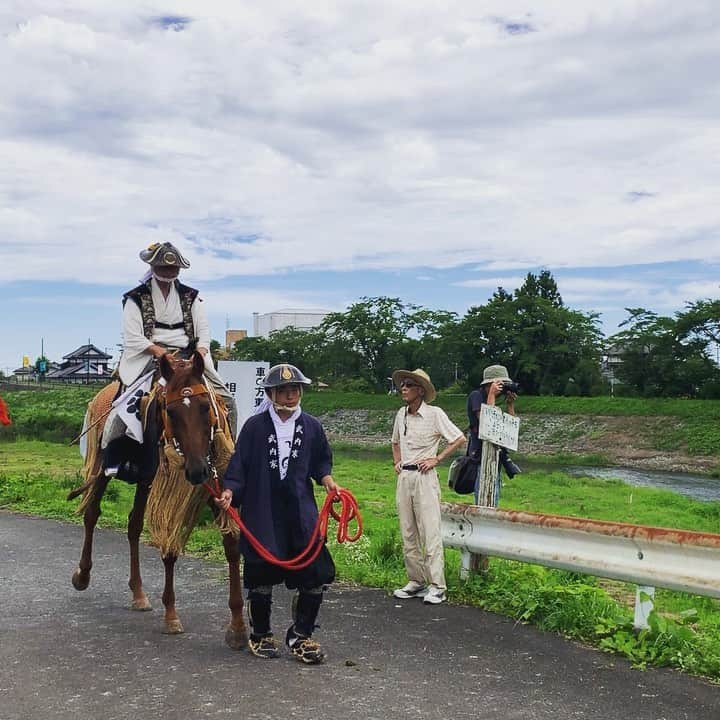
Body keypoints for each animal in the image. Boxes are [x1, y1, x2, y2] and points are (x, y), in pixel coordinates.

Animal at [68, 350, 248, 648]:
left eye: (204, 407)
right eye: (171, 412)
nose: (196, 470)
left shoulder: (214, 481)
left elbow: (231, 545)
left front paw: (237, 626)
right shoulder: (167, 489)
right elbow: (169, 547)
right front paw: (171, 615)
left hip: (144, 481)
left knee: (133, 526)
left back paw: (138, 592)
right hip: (105, 465)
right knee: (92, 514)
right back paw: (82, 575)